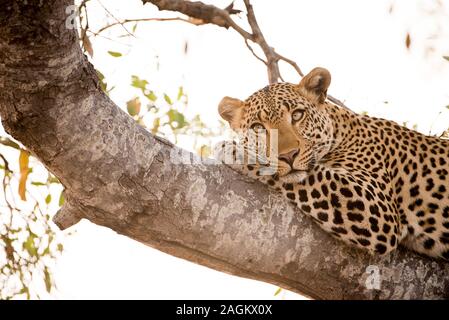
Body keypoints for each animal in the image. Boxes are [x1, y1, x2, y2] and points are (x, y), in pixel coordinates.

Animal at [214, 67, 448, 260]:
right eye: (258, 127)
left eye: (297, 115)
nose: (289, 155)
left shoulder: (379, 211)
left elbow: (318, 176)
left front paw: (235, 151)